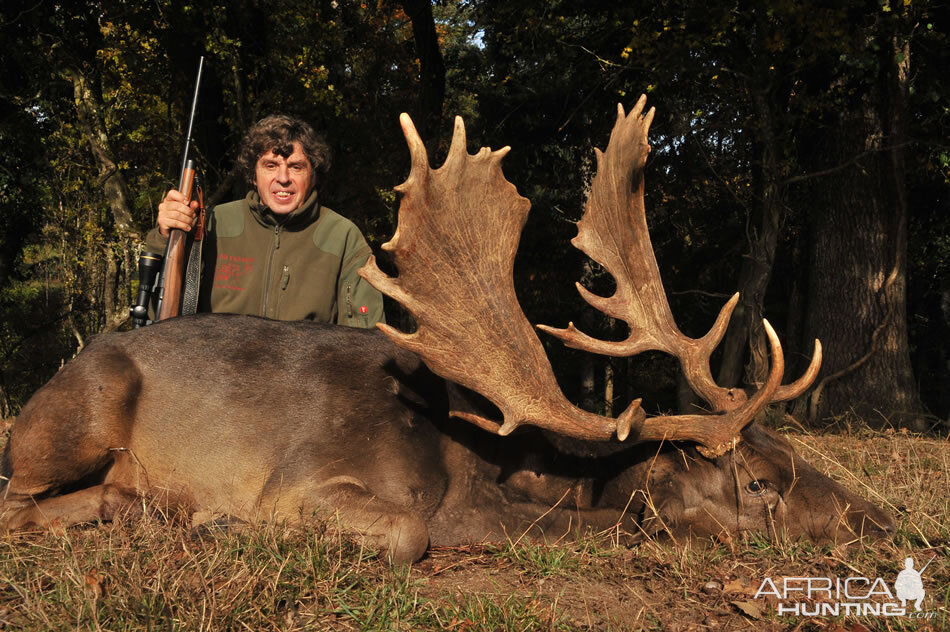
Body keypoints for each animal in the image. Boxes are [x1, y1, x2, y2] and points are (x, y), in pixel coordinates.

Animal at [0, 97, 896, 564]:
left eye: (793, 454)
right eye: (759, 483)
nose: (882, 522)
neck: (486, 463)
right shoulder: (307, 480)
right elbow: (409, 532)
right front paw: (224, 518)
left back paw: (135, 503)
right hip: (72, 413)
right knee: (13, 503)